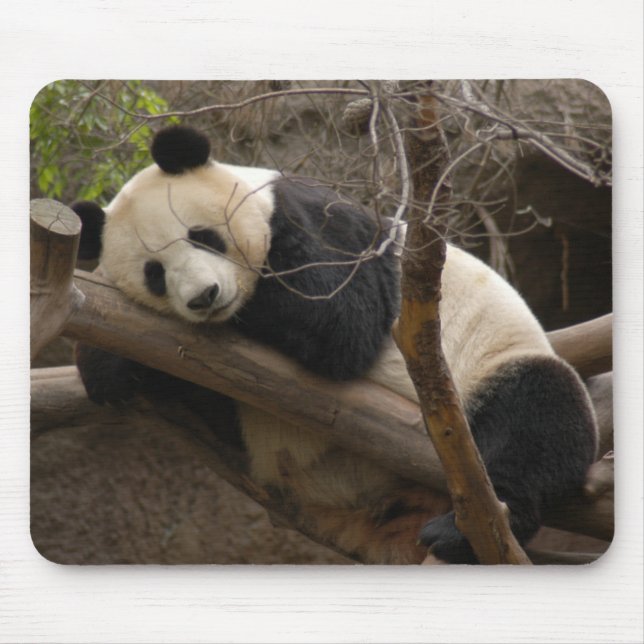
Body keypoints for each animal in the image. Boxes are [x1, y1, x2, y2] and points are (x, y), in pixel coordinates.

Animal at [71, 125, 598, 564]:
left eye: (202, 237)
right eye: (154, 273)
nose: (205, 297)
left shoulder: (318, 222)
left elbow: (339, 320)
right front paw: (106, 366)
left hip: (496, 362)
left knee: (537, 417)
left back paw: (461, 532)